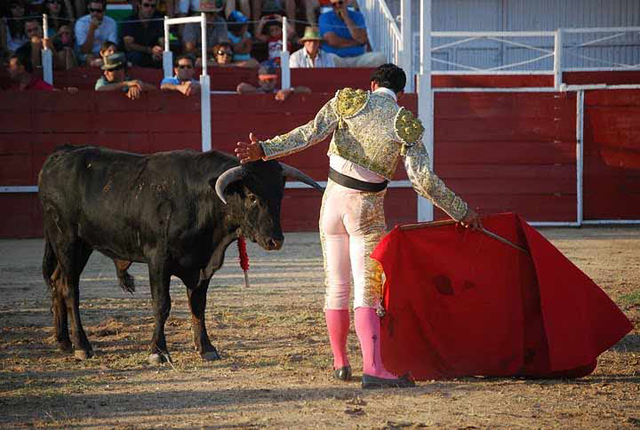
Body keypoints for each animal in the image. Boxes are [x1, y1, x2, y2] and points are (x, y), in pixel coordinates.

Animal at [37, 145, 322, 362]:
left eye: (280, 195)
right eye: (252, 196)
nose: (275, 240)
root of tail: (59, 155)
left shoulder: (202, 265)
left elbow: (198, 305)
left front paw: (206, 348)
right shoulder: (158, 260)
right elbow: (162, 305)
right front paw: (158, 351)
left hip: (81, 245)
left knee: (57, 282)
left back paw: (63, 341)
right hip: (67, 240)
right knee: (70, 289)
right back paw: (82, 347)